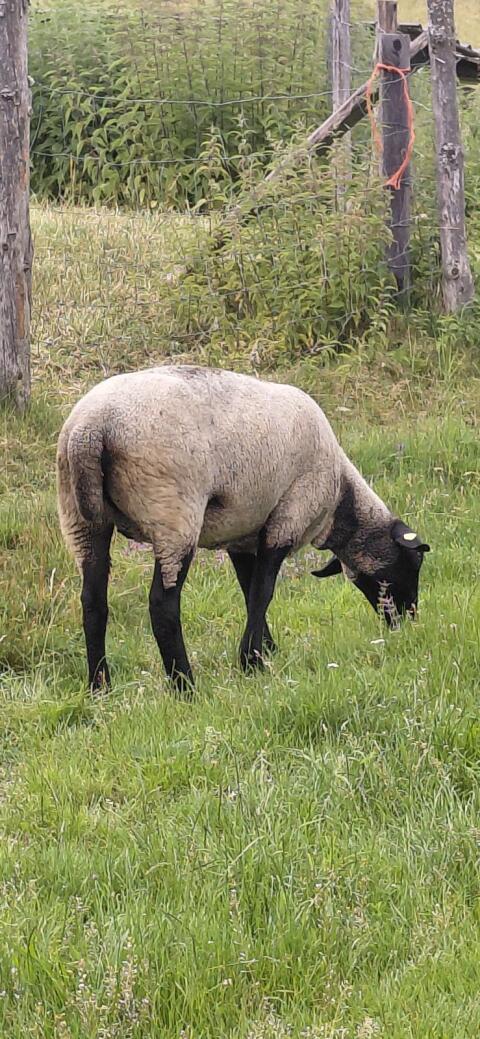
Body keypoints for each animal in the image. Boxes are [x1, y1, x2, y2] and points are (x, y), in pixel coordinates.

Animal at [56, 364, 430, 692]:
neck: (340, 498)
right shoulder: (287, 518)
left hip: (80, 518)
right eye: (415, 563)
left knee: (93, 602)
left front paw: (266, 650)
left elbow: (249, 592)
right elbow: (263, 591)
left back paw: (99, 686)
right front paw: (251, 660)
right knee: (162, 606)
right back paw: (184, 686)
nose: (407, 621)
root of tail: (91, 430)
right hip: (173, 514)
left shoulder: (242, 534)